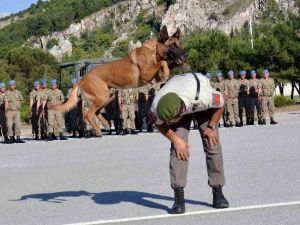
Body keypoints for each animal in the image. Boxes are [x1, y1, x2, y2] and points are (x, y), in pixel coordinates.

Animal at [50, 25, 184, 135]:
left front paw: (170, 70)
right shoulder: (146, 74)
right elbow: (163, 62)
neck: (153, 50)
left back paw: (105, 124)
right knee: (89, 114)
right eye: (172, 46)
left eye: (179, 45)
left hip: (108, 97)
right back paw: (97, 130)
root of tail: (83, 78)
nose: (184, 56)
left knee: (97, 112)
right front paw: (166, 72)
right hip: (102, 97)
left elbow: (164, 64)